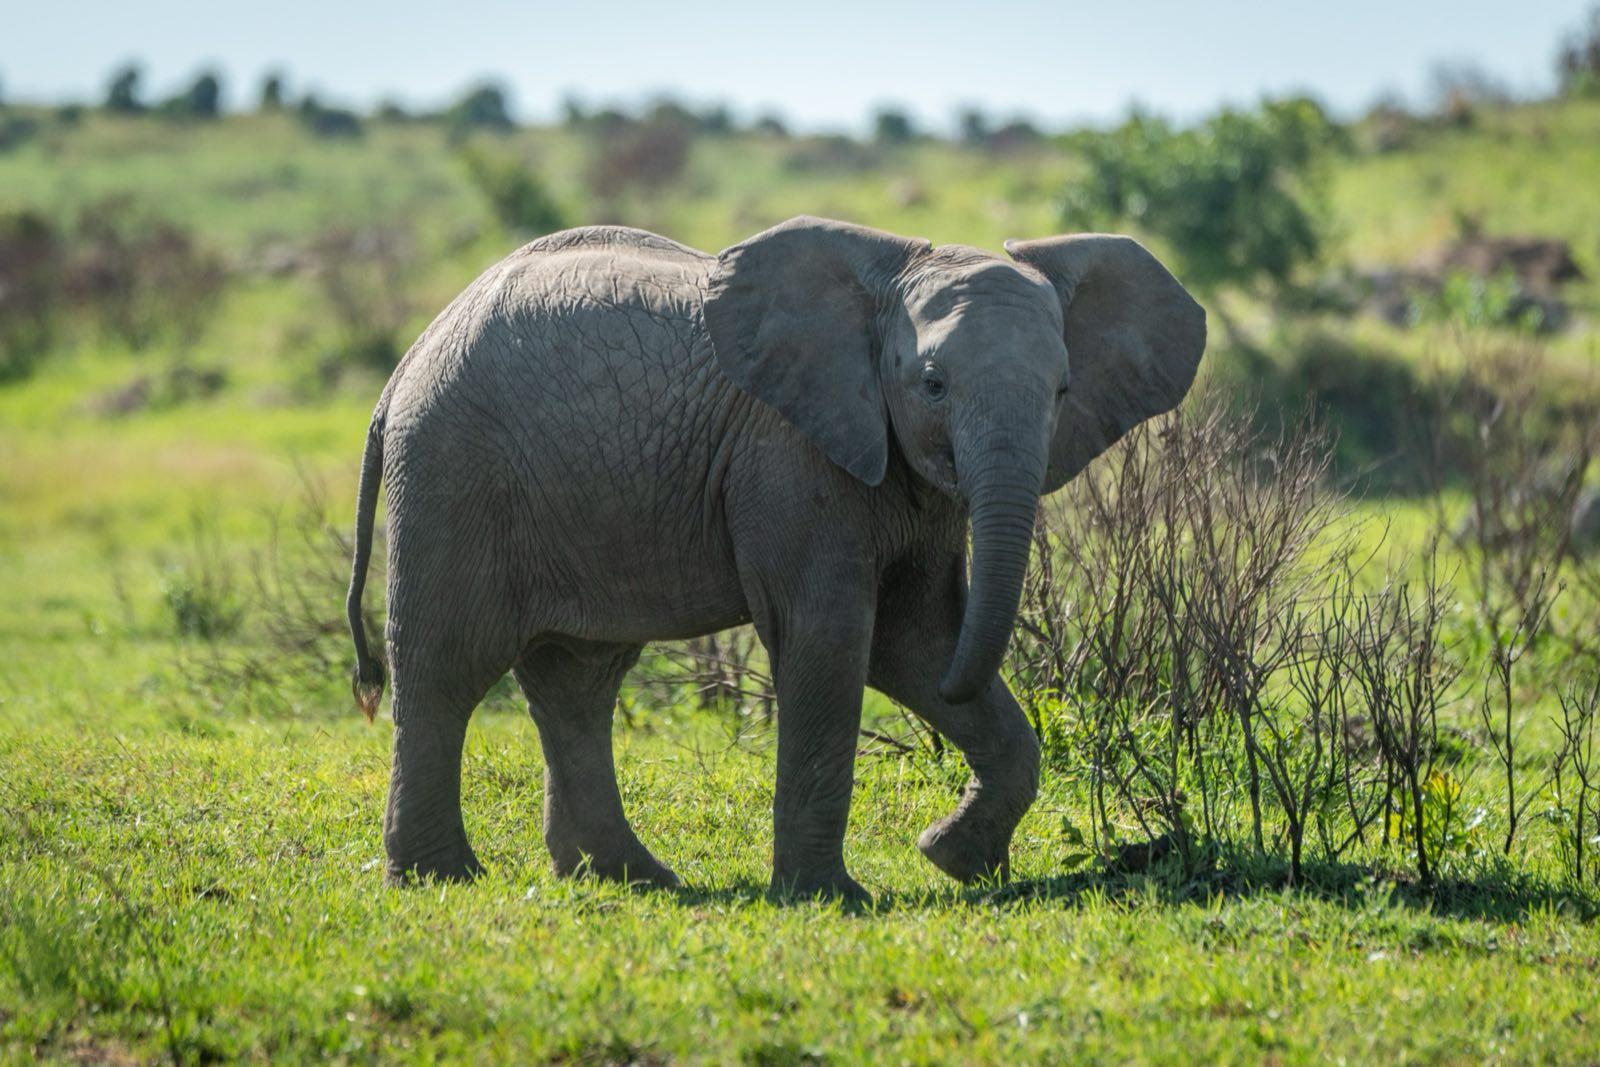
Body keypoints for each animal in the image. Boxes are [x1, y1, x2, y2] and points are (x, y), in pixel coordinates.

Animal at [345, 216, 1204, 900]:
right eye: (931, 384)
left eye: (1062, 390)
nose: (942, 844)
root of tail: (404, 366)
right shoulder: (791, 456)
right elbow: (831, 638)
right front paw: (832, 897)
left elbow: (915, 641)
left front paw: (952, 857)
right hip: (453, 470)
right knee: (446, 667)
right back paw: (442, 877)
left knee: (578, 679)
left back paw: (630, 879)